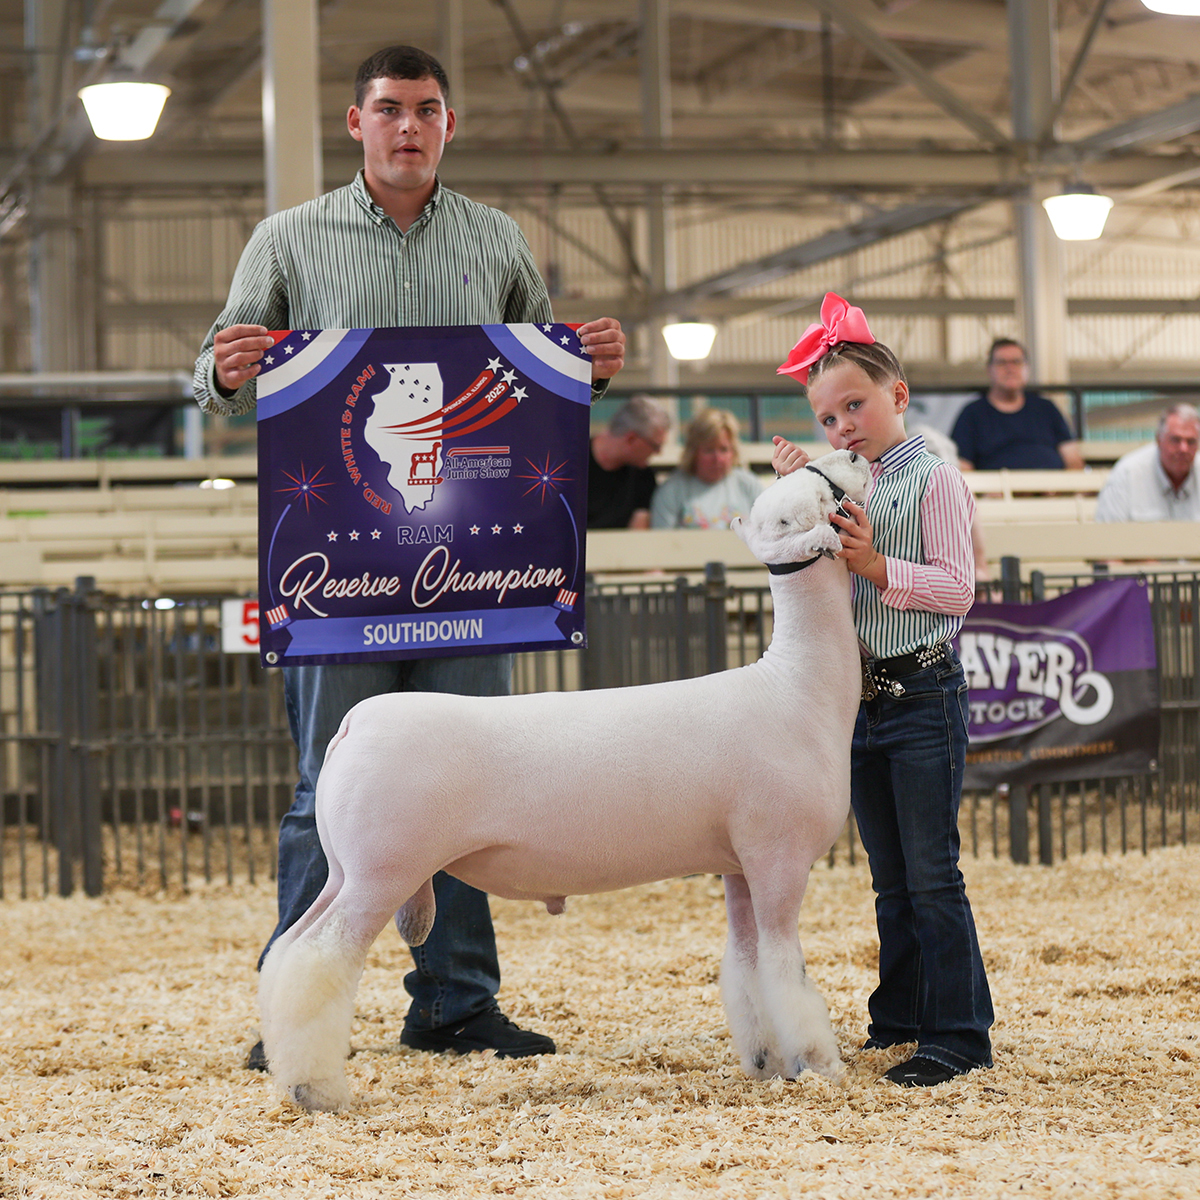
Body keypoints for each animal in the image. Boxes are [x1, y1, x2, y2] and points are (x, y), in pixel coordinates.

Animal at [258, 449, 871, 1112]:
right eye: (820, 490)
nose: (855, 454)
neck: (796, 686)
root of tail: (354, 722)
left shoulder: (739, 863)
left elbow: (748, 965)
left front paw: (765, 1062)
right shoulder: (780, 855)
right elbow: (786, 969)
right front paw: (817, 1064)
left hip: (345, 868)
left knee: (288, 951)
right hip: (382, 870)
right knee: (318, 960)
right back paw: (315, 1088)